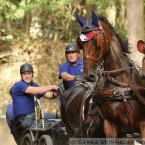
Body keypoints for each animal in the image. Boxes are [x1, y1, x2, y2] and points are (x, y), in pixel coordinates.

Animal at [75, 11, 145, 142]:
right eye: (80, 43)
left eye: (96, 40)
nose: (88, 75)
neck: (120, 87)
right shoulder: (110, 127)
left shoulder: (143, 125)